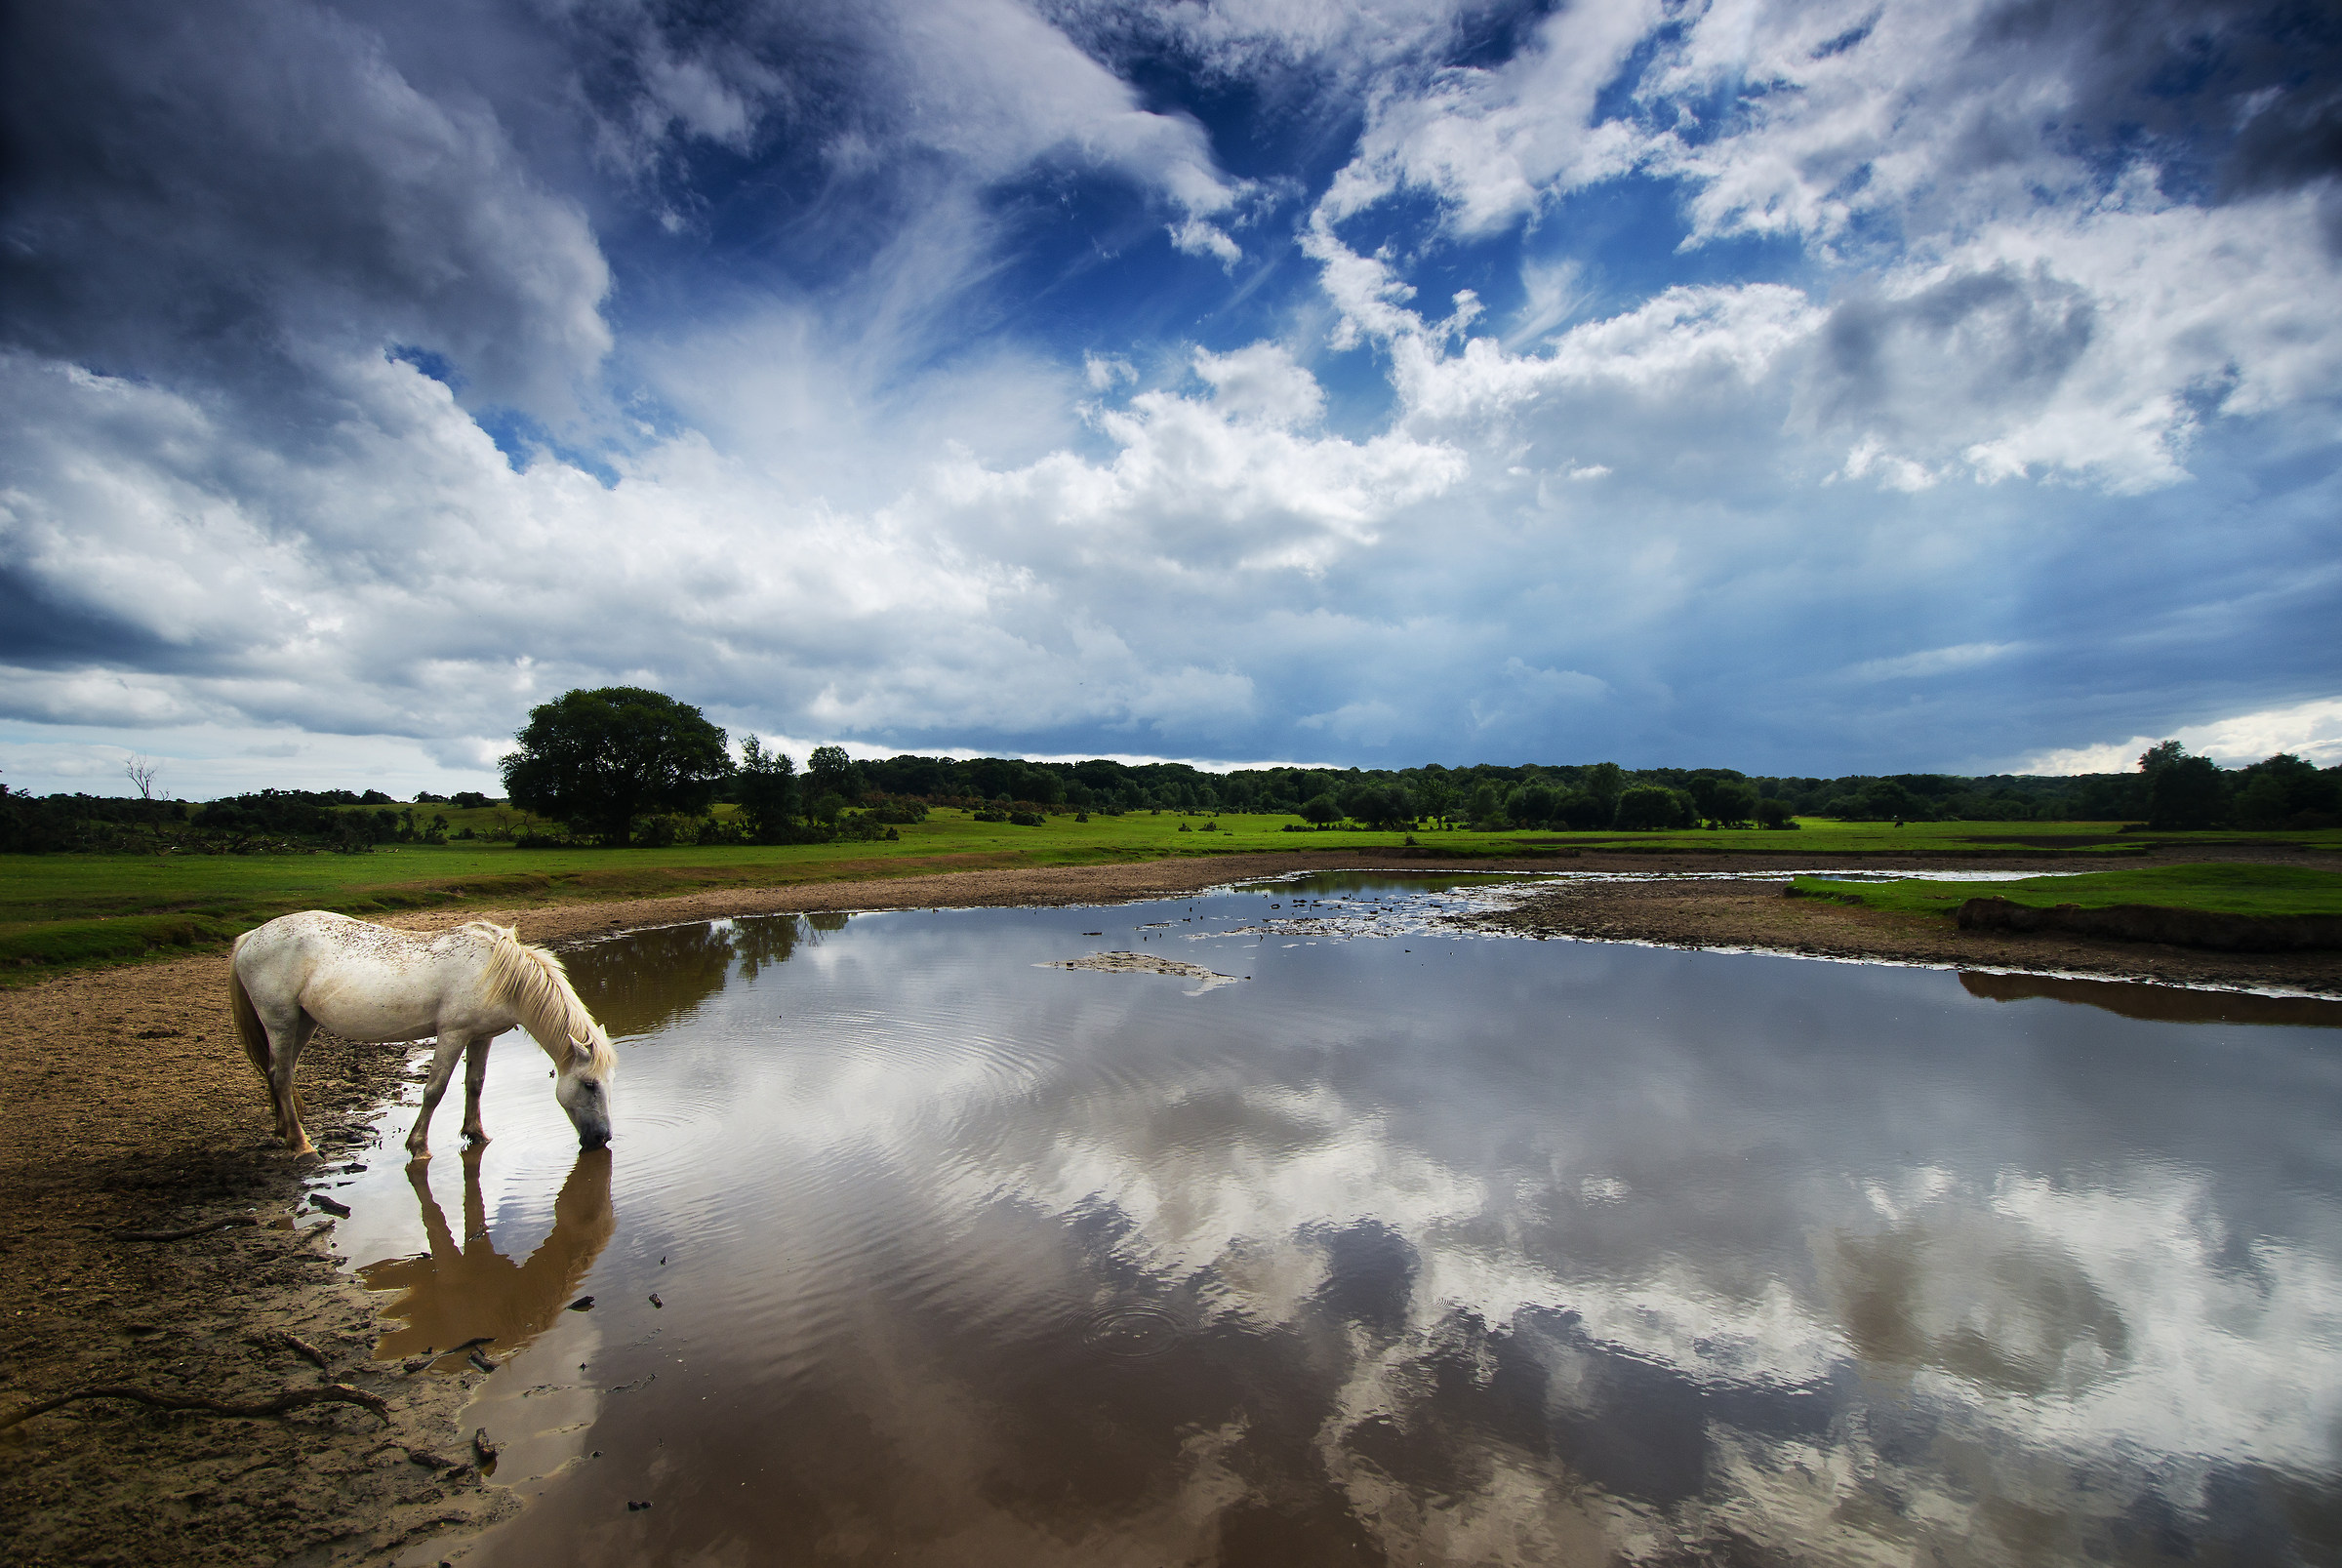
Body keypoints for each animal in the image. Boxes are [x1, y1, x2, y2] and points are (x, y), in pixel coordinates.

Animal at [229, 911, 616, 1159]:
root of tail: (251, 937)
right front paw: (419, 1146)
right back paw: (302, 1145)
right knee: (281, 1076)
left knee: (278, 1073)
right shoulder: (452, 1034)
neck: (496, 971)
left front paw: (476, 1134)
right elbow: (434, 1090)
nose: (603, 1138)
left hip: (303, 1023)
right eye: (589, 1085)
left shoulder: (482, 1036)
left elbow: (475, 1084)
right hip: (280, 1021)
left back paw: (284, 1132)